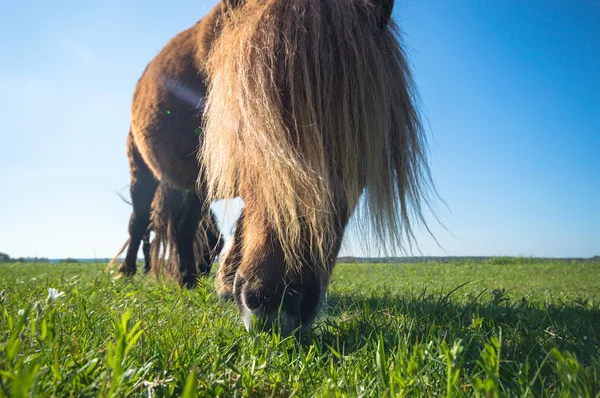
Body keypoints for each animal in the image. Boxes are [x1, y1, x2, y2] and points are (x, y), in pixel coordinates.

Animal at [117, 0, 434, 336]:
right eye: (243, 130)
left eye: (360, 141)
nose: (278, 303)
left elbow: (240, 224)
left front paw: (225, 282)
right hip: (143, 168)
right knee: (140, 221)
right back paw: (131, 272)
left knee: (183, 227)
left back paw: (188, 277)